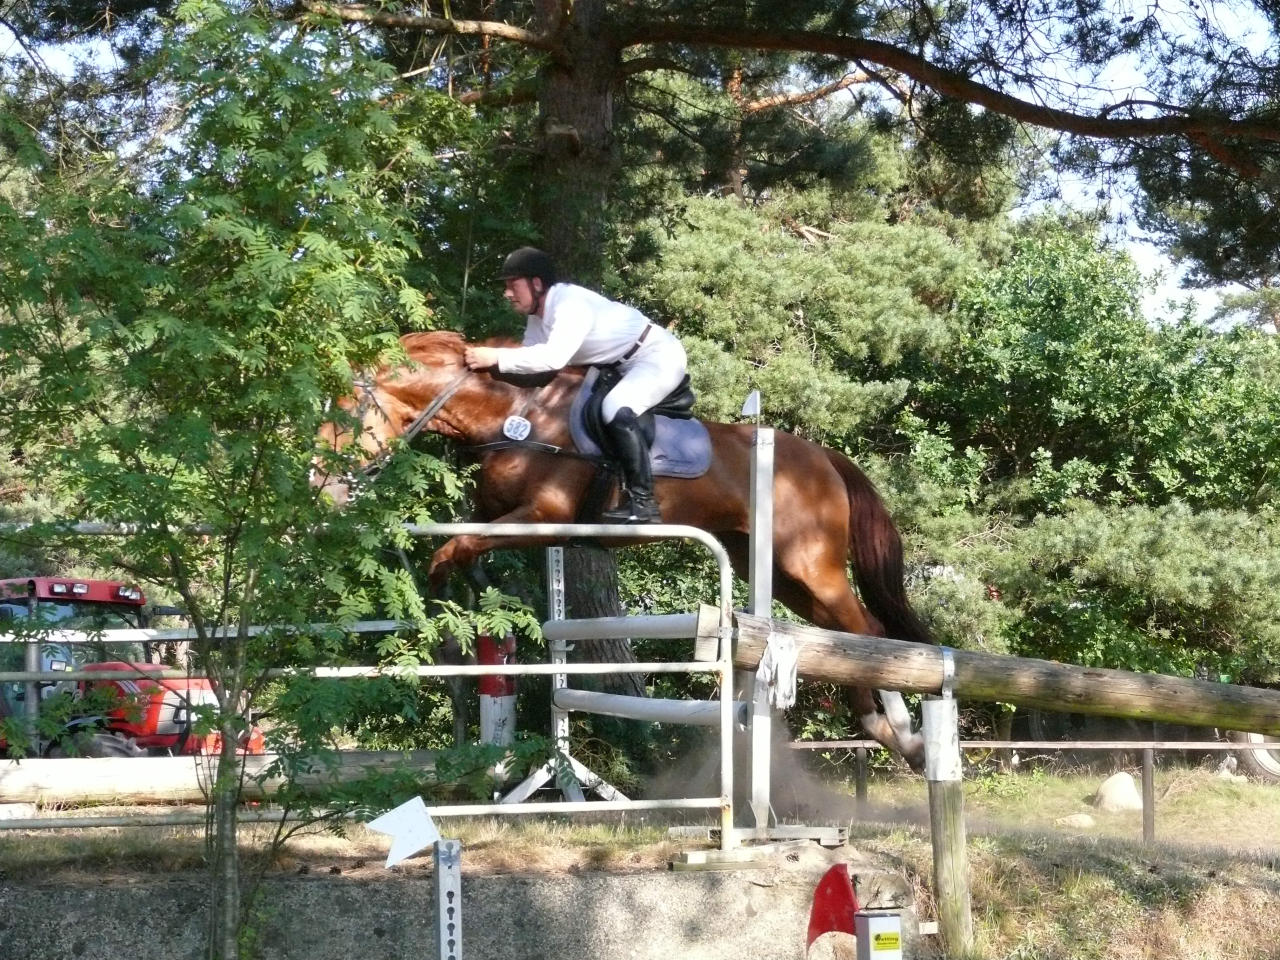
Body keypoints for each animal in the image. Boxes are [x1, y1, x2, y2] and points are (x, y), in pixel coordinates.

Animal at [315, 330, 934, 767]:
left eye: (342, 417)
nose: (323, 491)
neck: (517, 416)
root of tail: (824, 457)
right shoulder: (498, 517)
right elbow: (460, 559)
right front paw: (456, 642)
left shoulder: (542, 518)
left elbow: (451, 553)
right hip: (783, 574)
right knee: (844, 636)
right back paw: (889, 729)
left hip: (807, 563)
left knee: (868, 630)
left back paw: (901, 734)